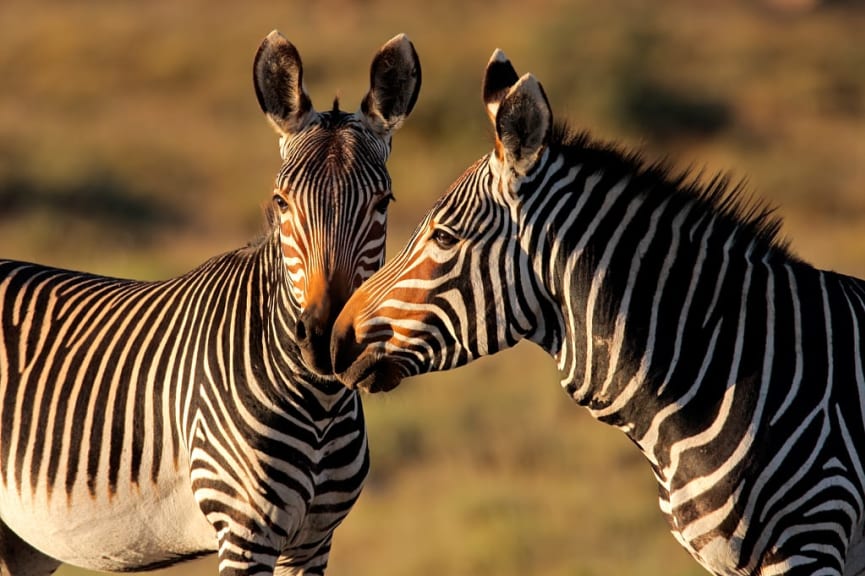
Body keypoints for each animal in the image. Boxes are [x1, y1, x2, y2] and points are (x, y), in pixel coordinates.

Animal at [0, 30, 418, 576]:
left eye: (383, 203)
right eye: (281, 202)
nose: (324, 339)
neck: (320, 405)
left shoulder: (314, 541)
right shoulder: (245, 532)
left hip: (22, 542)